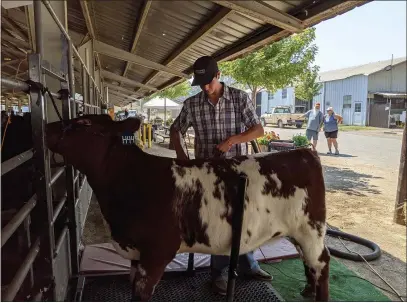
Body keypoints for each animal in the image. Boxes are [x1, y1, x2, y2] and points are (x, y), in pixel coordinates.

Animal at [45, 114, 332, 302]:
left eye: (84, 123)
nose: (46, 127)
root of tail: (304, 152)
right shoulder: (136, 254)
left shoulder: (157, 252)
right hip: (295, 231)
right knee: (308, 261)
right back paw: (307, 290)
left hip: (311, 230)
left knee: (322, 262)